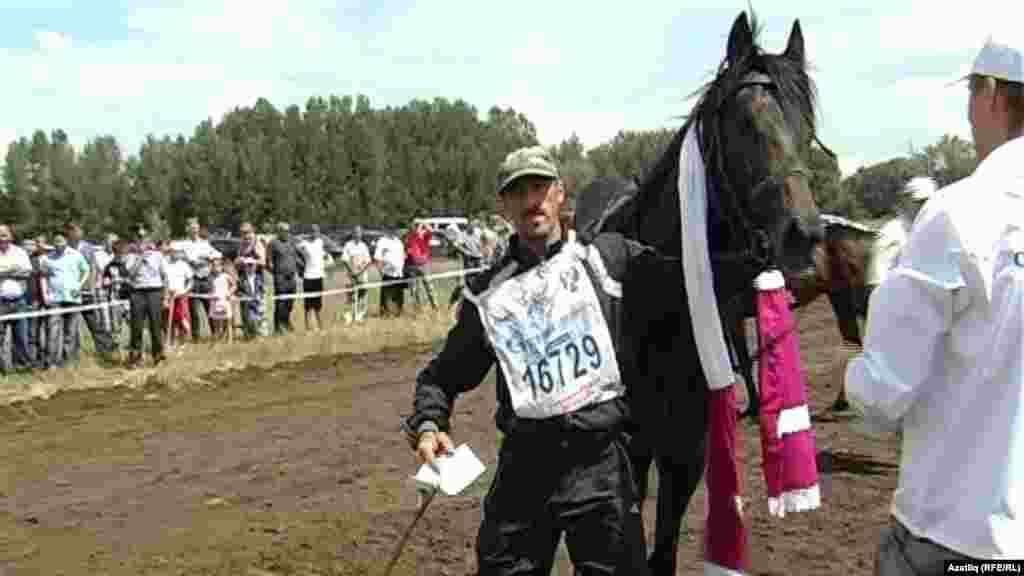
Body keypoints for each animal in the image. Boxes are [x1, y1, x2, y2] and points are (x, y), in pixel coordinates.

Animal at [578, 12, 828, 575]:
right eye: (743, 123)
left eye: (806, 127)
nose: (803, 234)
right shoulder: (632, 445)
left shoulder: (687, 450)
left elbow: (663, 551)